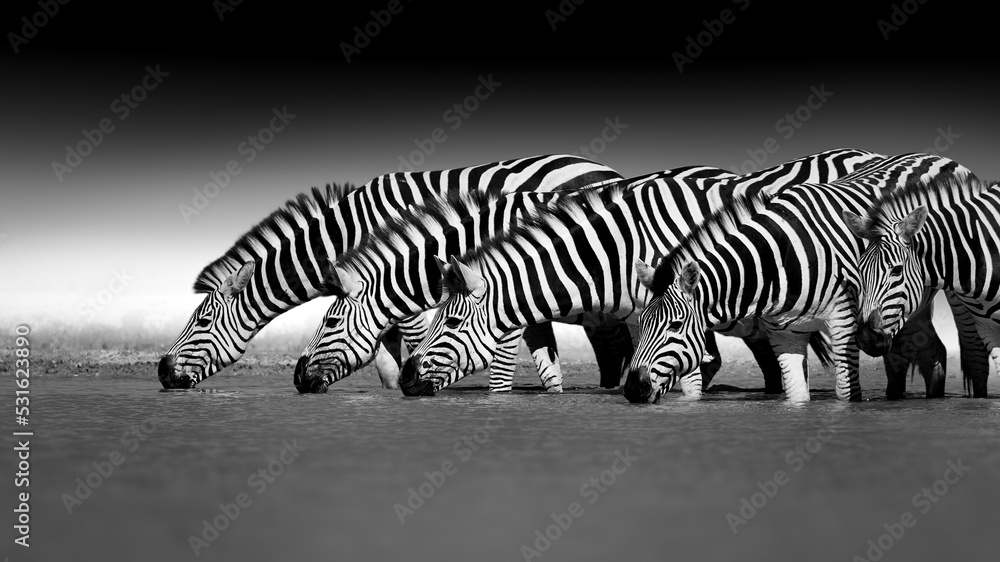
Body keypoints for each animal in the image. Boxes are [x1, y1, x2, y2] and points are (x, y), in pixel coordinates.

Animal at [156, 155, 624, 388]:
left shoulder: (403, 294)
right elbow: (382, 363)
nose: (160, 372)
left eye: (201, 321)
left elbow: (407, 351)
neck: (347, 235)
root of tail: (599, 166)